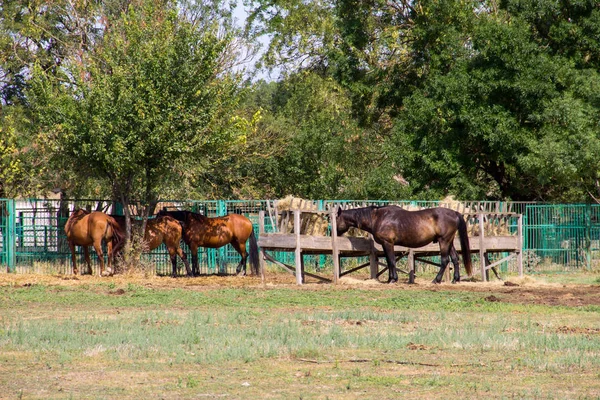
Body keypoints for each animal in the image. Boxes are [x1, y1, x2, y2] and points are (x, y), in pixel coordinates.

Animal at [336, 206, 472, 284]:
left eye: (336, 219)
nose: (334, 232)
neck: (377, 218)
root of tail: (454, 213)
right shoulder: (385, 245)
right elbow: (388, 260)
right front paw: (389, 279)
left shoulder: (388, 243)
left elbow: (391, 260)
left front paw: (393, 279)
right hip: (449, 241)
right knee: (455, 259)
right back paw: (455, 279)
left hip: (443, 241)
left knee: (444, 260)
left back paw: (436, 280)